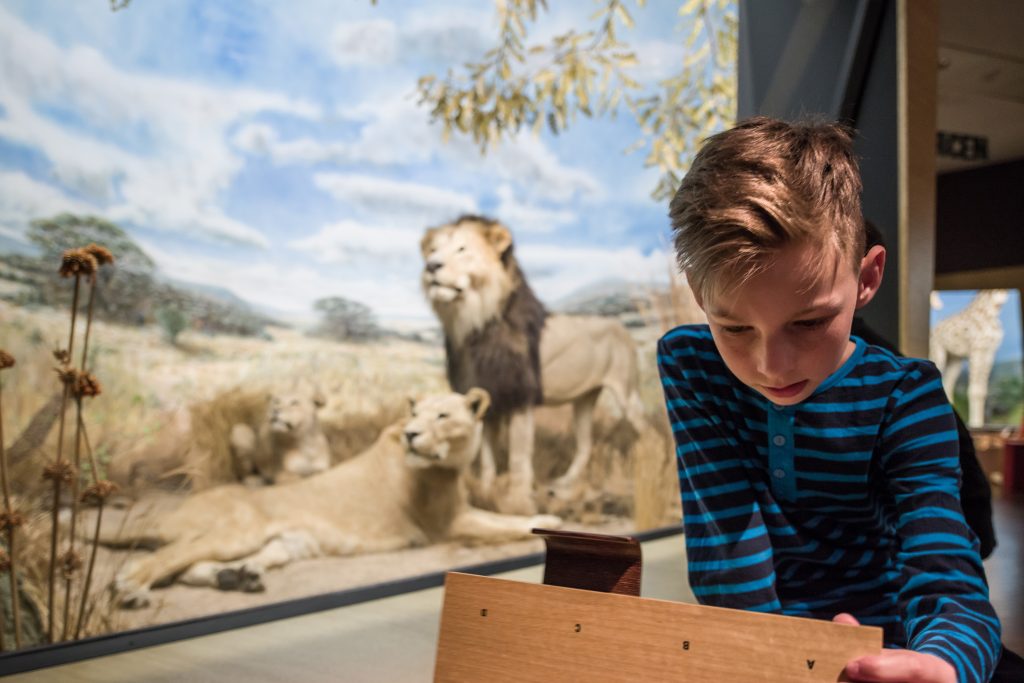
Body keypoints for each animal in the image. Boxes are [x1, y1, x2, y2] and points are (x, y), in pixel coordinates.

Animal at [107, 389, 557, 610]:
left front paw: (549, 520)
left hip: (285, 543)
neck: (448, 463)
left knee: (191, 566)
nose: (413, 434)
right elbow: (506, 528)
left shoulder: (461, 510)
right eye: (416, 414)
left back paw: (239, 578)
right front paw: (545, 526)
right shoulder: (447, 524)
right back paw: (130, 591)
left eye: (443, 416)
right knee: (162, 559)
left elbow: (510, 519)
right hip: (238, 529)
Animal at [415, 216, 638, 516]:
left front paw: (518, 501)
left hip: (627, 392)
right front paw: (486, 493)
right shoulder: (489, 399)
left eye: (462, 249)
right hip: (584, 399)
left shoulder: (519, 399)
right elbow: (487, 458)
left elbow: (519, 457)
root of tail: (622, 327)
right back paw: (564, 485)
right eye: (433, 250)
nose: (431, 266)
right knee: (585, 445)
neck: (473, 326)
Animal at [933, 288, 1011, 428]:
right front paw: (975, 423)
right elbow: (975, 390)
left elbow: (982, 390)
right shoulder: (977, 349)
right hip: (938, 352)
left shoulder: (989, 352)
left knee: (948, 383)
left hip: (955, 359)